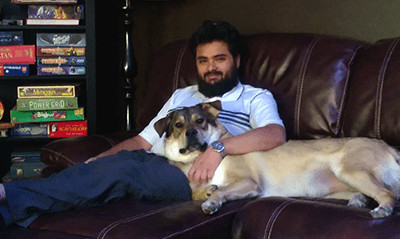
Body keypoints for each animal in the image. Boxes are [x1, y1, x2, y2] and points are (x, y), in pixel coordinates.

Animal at [153, 102, 400, 218]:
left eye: (200, 121)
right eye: (178, 125)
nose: (191, 132)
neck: (196, 159)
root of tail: (390, 147)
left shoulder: (249, 183)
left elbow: (221, 190)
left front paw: (212, 200)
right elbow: (198, 192)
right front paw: (207, 191)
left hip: (349, 170)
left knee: (389, 194)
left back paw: (382, 210)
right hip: (329, 190)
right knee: (369, 194)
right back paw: (359, 200)